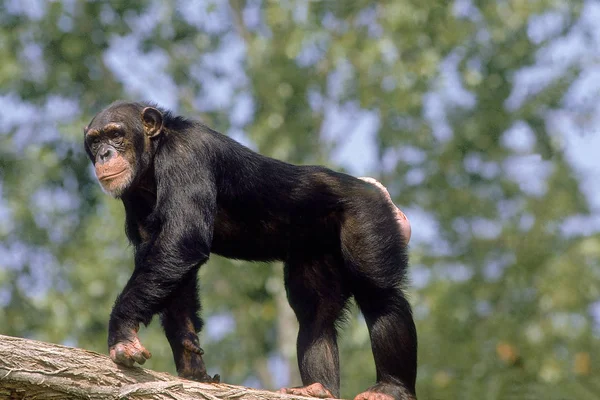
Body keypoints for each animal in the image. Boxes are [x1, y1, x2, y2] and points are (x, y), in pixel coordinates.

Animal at [83, 101, 418, 400]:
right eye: (95, 140)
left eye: (116, 134)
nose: (104, 154)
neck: (153, 158)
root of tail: (377, 190)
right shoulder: (134, 200)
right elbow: (171, 265)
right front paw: (192, 363)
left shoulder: (187, 156)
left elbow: (183, 239)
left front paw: (122, 332)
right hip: (315, 248)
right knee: (316, 313)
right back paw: (317, 388)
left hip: (367, 213)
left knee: (379, 295)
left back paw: (391, 387)